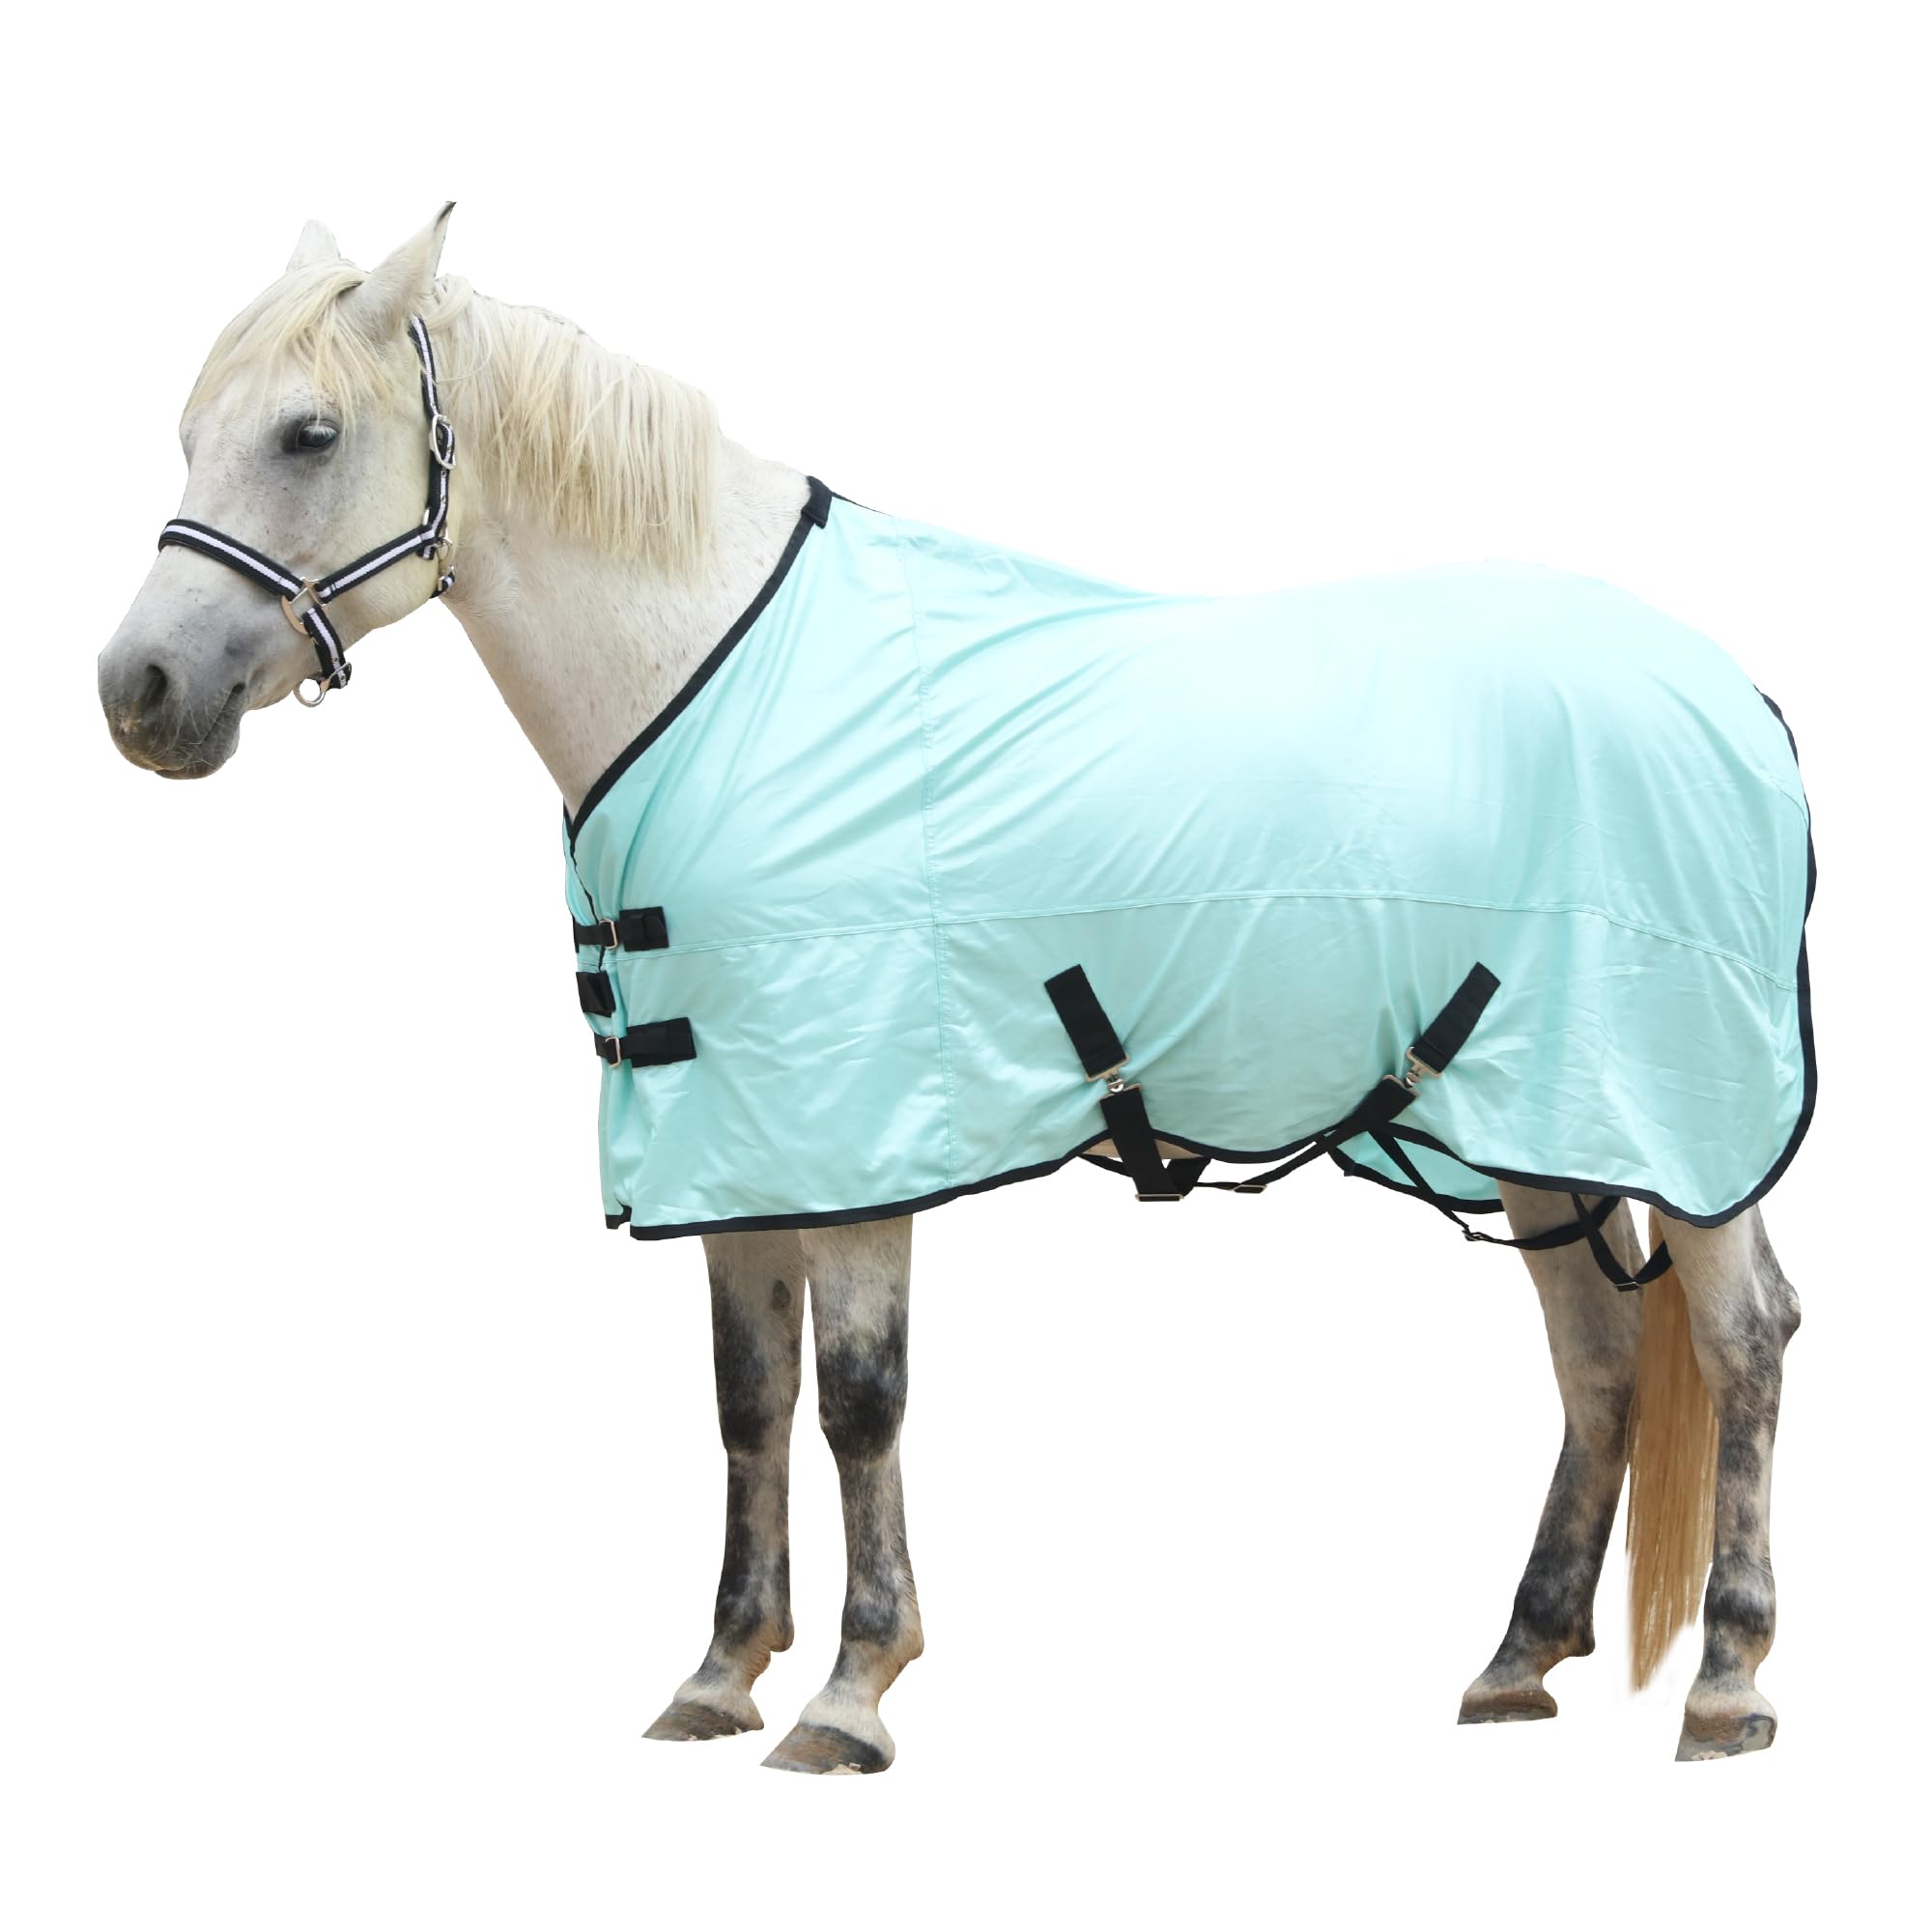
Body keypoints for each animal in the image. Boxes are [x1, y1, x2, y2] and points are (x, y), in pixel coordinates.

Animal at [97, 206, 1806, 1773]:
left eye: (311, 433)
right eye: (189, 431)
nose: (139, 691)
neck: (718, 674)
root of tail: (1734, 699)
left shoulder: (857, 1132)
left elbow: (859, 1397)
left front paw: (852, 1691)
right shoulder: (736, 1138)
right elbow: (748, 1398)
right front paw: (720, 1675)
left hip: (1684, 1127)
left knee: (1744, 1341)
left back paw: (1727, 1684)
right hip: (1541, 1120)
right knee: (1597, 1353)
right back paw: (1518, 1661)